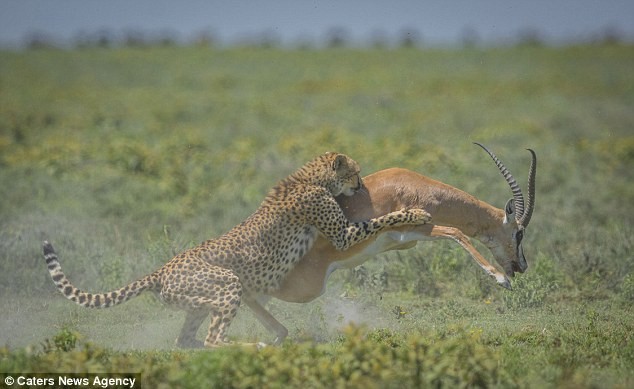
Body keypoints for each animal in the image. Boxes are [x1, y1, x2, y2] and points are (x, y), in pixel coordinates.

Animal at [43, 152, 430, 346]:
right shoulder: (342, 234)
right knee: (214, 338)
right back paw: (249, 347)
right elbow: (381, 220)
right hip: (227, 285)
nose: (361, 185)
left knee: (186, 339)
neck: (309, 178)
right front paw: (416, 213)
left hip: (200, 301)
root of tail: (162, 268)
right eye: (356, 172)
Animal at [247, 142, 532, 342]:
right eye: (519, 233)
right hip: (306, 289)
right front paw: (500, 279)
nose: (521, 266)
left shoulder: (406, 242)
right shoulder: (417, 230)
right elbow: (456, 232)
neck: (417, 186)